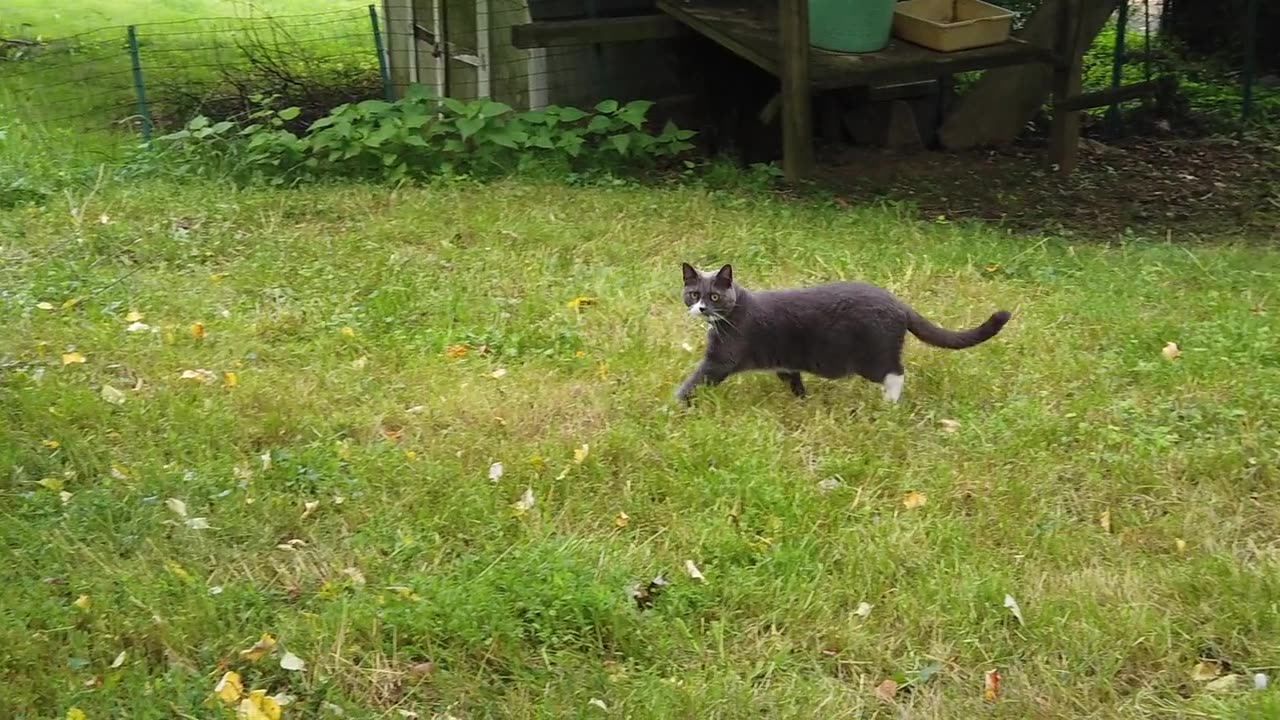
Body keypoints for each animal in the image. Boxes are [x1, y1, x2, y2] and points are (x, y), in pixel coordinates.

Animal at [675, 263, 1013, 407]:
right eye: (693, 294)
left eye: (714, 297)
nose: (701, 308)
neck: (732, 312)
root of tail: (899, 304)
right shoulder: (785, 361)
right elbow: (792, 377)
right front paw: (802, 401)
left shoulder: (722, 356)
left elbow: (695, 380)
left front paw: (674, 407)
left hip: (871, 355)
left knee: (895, 372)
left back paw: (889, 404)